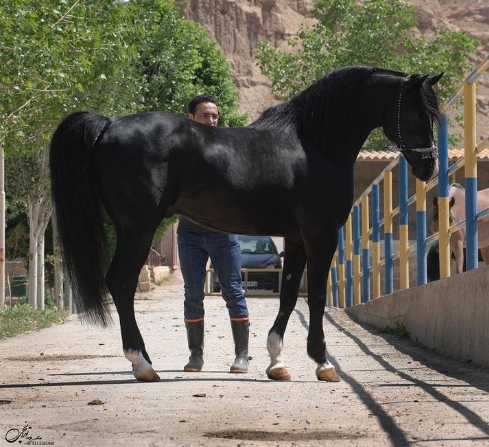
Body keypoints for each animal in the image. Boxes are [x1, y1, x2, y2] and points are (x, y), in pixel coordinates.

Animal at [49, 65, 442, 382]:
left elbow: (288, 294)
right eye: (415, 113)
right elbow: (315, 294)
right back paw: (143, 364)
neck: (316, 144)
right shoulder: (321, 235)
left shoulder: (295, 239)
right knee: (121, 281)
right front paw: (323, 363)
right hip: (138, 228)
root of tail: (109, 125)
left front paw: (276, 361)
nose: (429, 168)